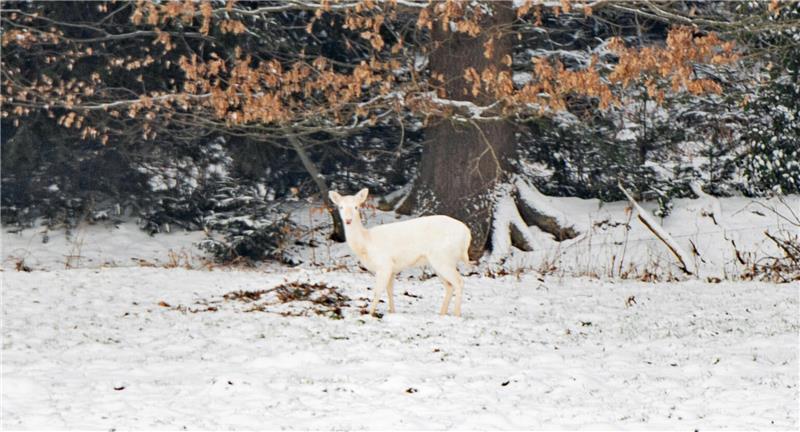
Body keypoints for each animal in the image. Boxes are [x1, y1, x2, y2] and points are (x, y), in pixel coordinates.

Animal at [328, 188, 472, 317]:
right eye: (341, 207)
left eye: (356, 207)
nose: (348, 220)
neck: (366, 244)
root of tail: (467, 234)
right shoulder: (392, 269)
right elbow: (389, 290)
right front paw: (392, 311)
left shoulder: (384, 264)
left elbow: (377, 291)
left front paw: (369, 313)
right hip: (438, 261)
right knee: (449, 285)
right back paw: (442, 314)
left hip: (443, 257)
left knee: (459, 282)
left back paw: (457, 314)